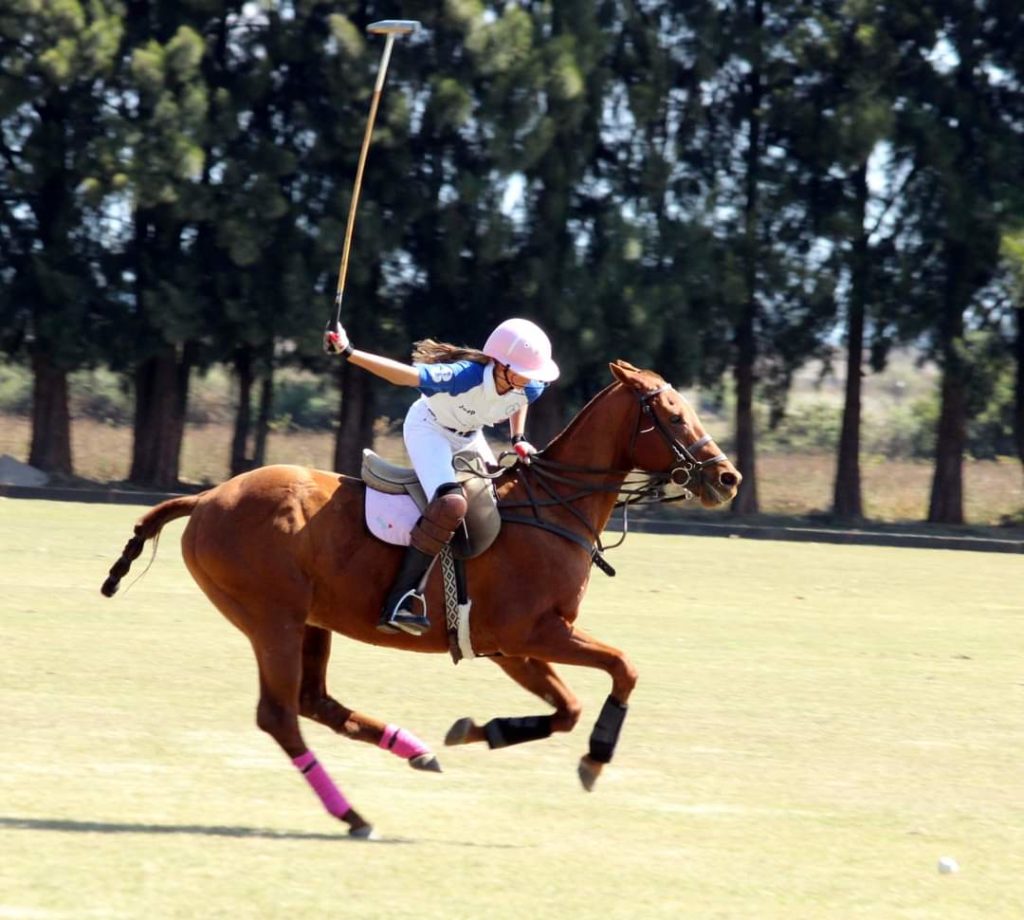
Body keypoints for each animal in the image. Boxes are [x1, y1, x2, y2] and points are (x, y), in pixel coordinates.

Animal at [99, 358, 741, 831]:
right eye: (672, 414)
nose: (727, 478)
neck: (553, 510)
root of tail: (205, 498)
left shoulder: (510, 647)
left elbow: (567, 708)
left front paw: (480, 731)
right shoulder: (534, 632)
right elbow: (623, 668)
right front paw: (594, 759)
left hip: (311, 620)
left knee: (314, 701)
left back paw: (413, 751)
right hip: (270, 619)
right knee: (280, 715)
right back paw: (353, 814)